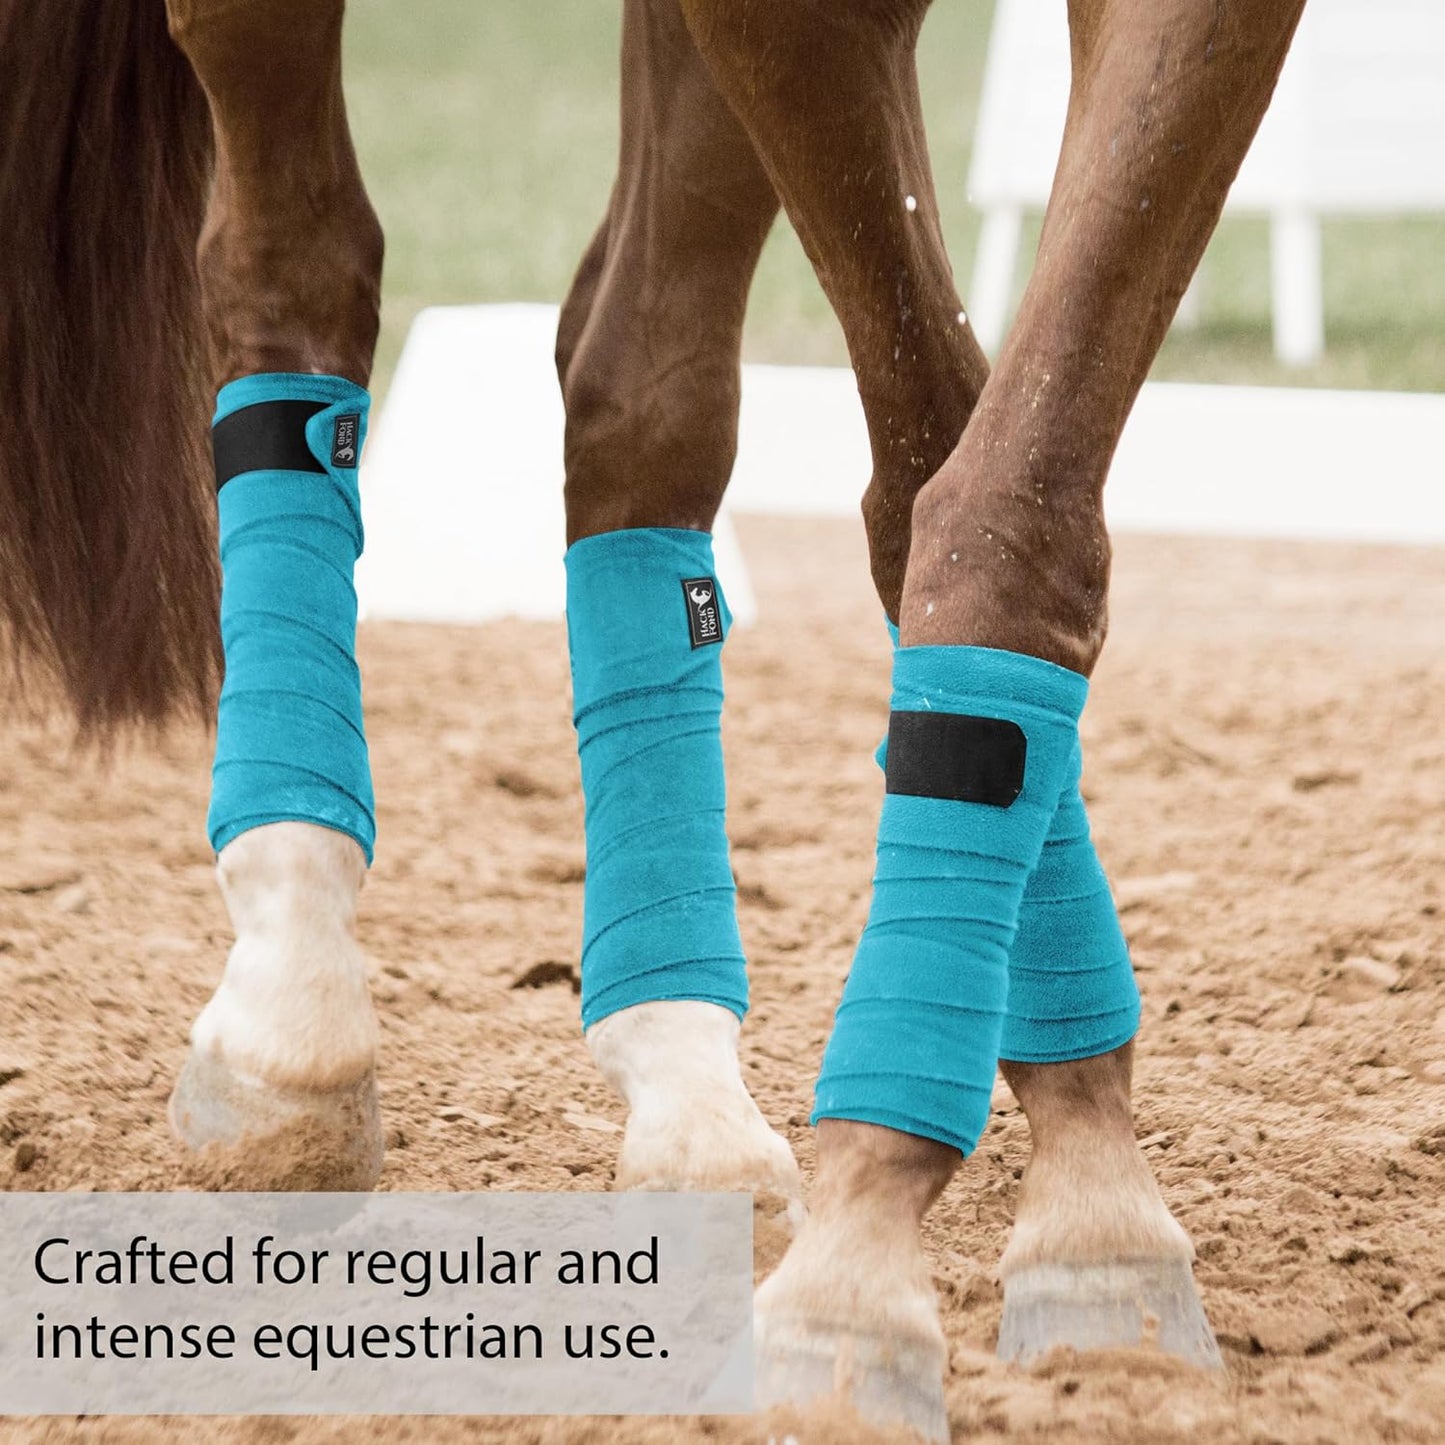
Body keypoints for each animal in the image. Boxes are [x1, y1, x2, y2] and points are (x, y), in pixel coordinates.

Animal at [0, 0, 1304, 1437]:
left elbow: (1006, 501)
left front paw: (1086, 1190)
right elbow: (936, 472)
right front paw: (862, 1271)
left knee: (634, 386)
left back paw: (686, 1084)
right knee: (285, 270)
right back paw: (292, 994)